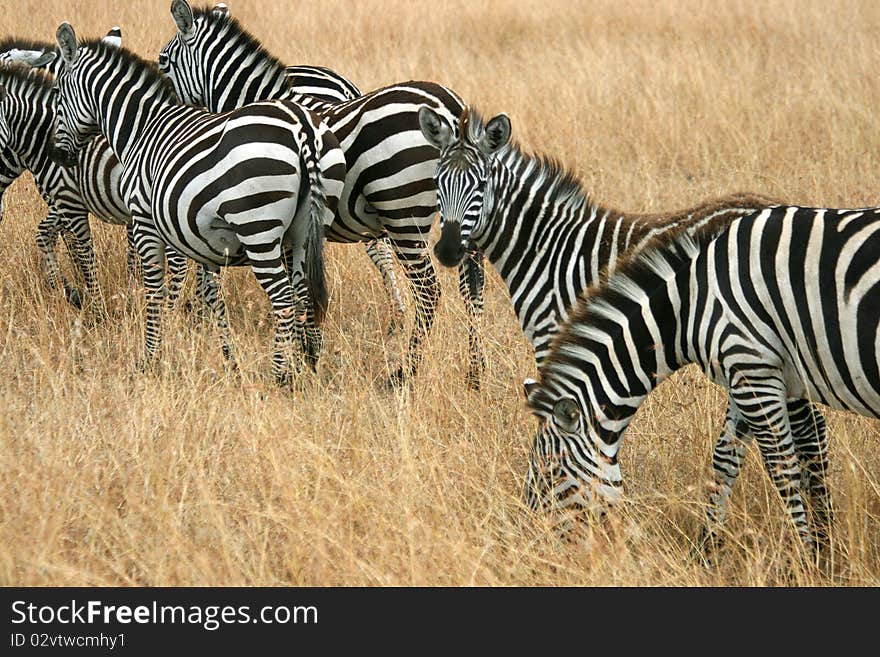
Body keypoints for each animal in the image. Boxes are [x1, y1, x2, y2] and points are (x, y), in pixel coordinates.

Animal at [49, 23, 348, 382]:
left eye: (57, 93)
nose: (58, 155)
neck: (141, 129)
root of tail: (303, 127)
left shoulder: (148, 222)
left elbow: (156, 289)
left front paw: (152, 357)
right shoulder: (205, 239)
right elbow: (211, 295)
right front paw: (229, 359)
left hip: (258, 228)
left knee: (284, 299)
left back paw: (279, 375)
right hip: (308, 230)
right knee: (304, 297)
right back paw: (305, 365)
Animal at [158, 0, 474, 386]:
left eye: (162, 61)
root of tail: (449, 108)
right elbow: (300, 292)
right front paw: (307, 356)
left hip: (403, 212)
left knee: (428, 290)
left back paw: (403, 373)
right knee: (472, 288)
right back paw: (475, 371)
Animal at [524, 208, 880, 556]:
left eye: (549, 474)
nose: (536, 549)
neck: (688, 305)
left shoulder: (752, 367)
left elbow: (782, 467)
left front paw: (807, 558)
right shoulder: (742, 373)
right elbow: (725, 458)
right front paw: (706, 547)